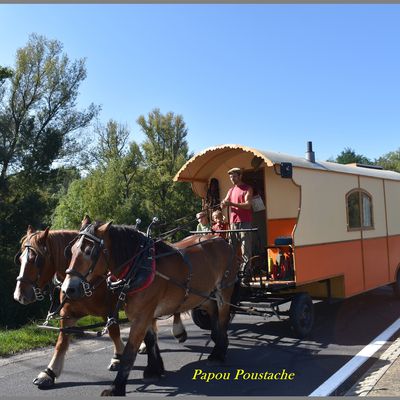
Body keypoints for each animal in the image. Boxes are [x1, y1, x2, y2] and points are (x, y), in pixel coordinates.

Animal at [61, 217, 238, 396]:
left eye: (89, 251)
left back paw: (218, 353)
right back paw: (218, 341)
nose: (68, 289)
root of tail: (221, 240)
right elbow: (150, 339)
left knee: (223, 317)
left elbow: (130, 351)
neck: (138, 267)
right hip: (204, 293)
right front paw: (154, 370)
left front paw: (116, 387)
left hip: (224, 290)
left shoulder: (142, 314)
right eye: (72, 250)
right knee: (213, 312)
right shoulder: (142, 313)